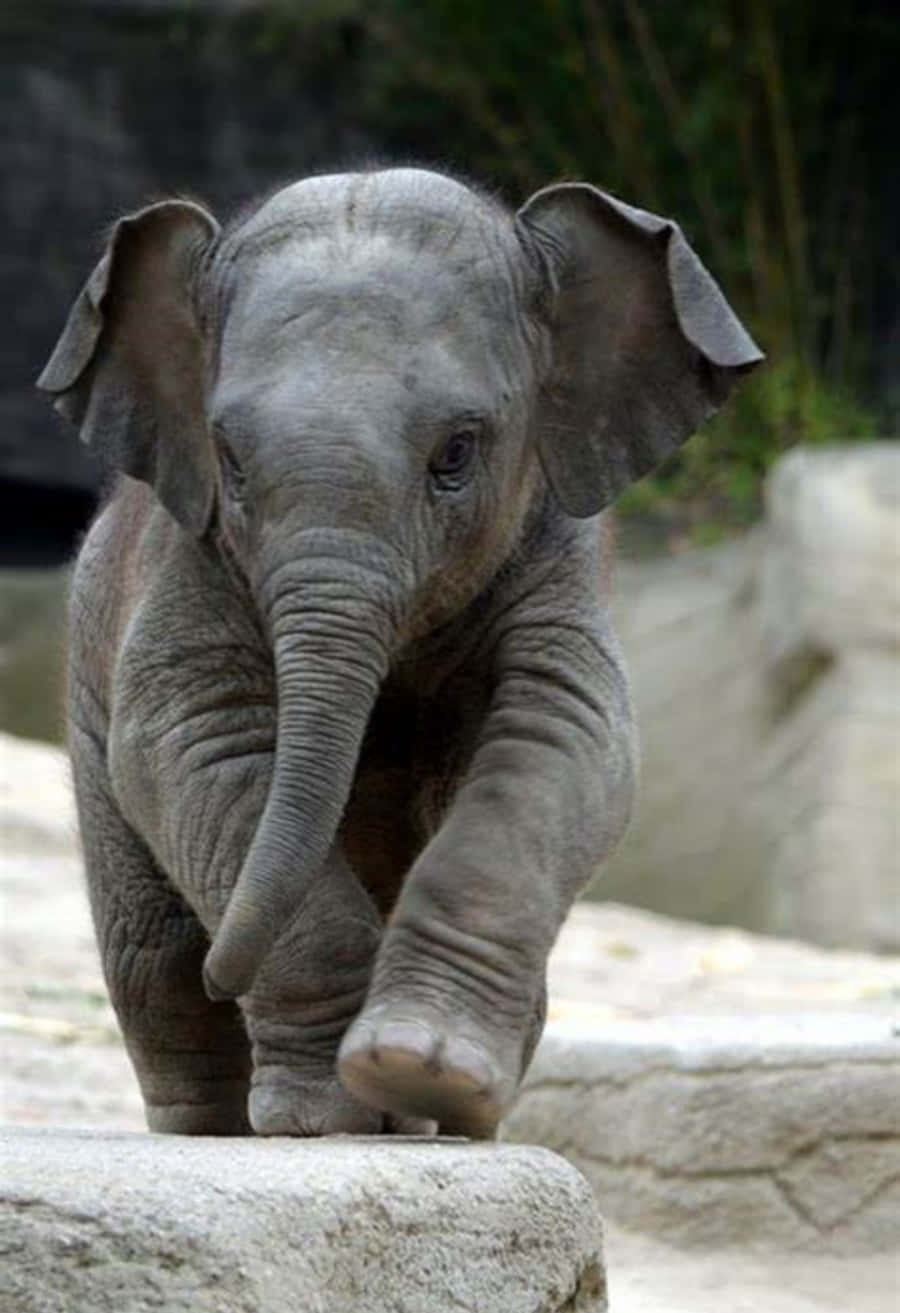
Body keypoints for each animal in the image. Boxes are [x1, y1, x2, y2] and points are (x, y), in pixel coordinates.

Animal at [38, 167, 761, 1139]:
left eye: (456, 453)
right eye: (229, 460)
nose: (227, 969)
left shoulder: (557, 553)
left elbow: (562, 737)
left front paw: (424, 1071)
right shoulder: (189, 557)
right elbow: (194, 742)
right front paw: (325, 1119)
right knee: (154, 966)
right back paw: (225, 1125)